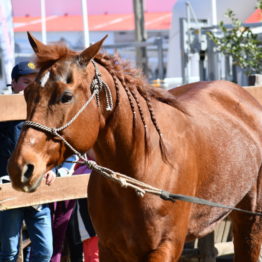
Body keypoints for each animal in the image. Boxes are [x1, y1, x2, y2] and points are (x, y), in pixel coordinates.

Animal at [7, 33, 262, 262]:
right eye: (27, 93)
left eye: (66, 96)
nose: (21, 167)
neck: (143, 166)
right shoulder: (110, 248)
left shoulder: (164, 248)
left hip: (250, 220)